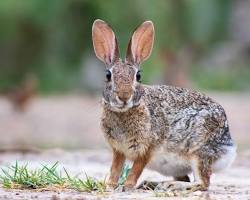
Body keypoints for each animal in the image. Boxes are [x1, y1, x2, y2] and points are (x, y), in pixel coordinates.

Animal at [92, 19, 236, 191]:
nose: (124, 96)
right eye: (108, 75)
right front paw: (110, 185)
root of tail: (229, 145)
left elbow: (136, 169)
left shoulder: (147, 149)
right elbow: (115, 168)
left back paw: (170, 185)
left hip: (199, 152)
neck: (125, 111)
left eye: (138, 76)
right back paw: (152, 184)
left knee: (202, 183)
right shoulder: (118, 150)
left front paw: (127, 186)